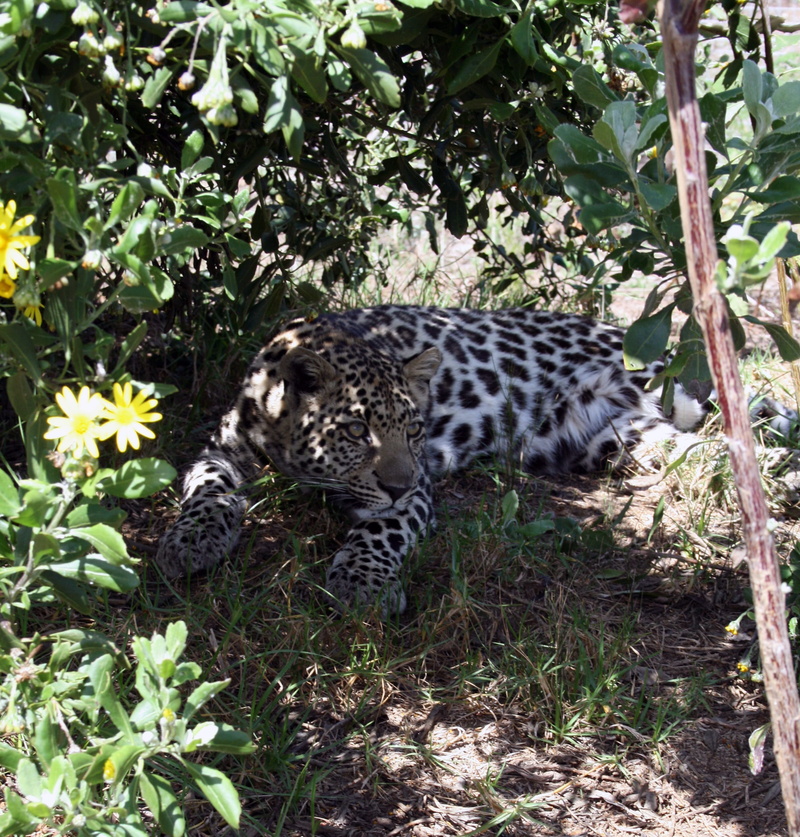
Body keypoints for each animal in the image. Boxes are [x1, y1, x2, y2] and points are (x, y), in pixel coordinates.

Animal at [155, 304, 793, 614]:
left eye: (413, 430)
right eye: (357, 429)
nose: (394, 481)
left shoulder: (416, 487)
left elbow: (381, 528)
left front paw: (361, 584)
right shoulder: (223, 447)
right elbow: (208, 486)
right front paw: (191, 541)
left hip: (661, 394)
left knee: (739, 427)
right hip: (625, 439)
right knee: (721, 450)